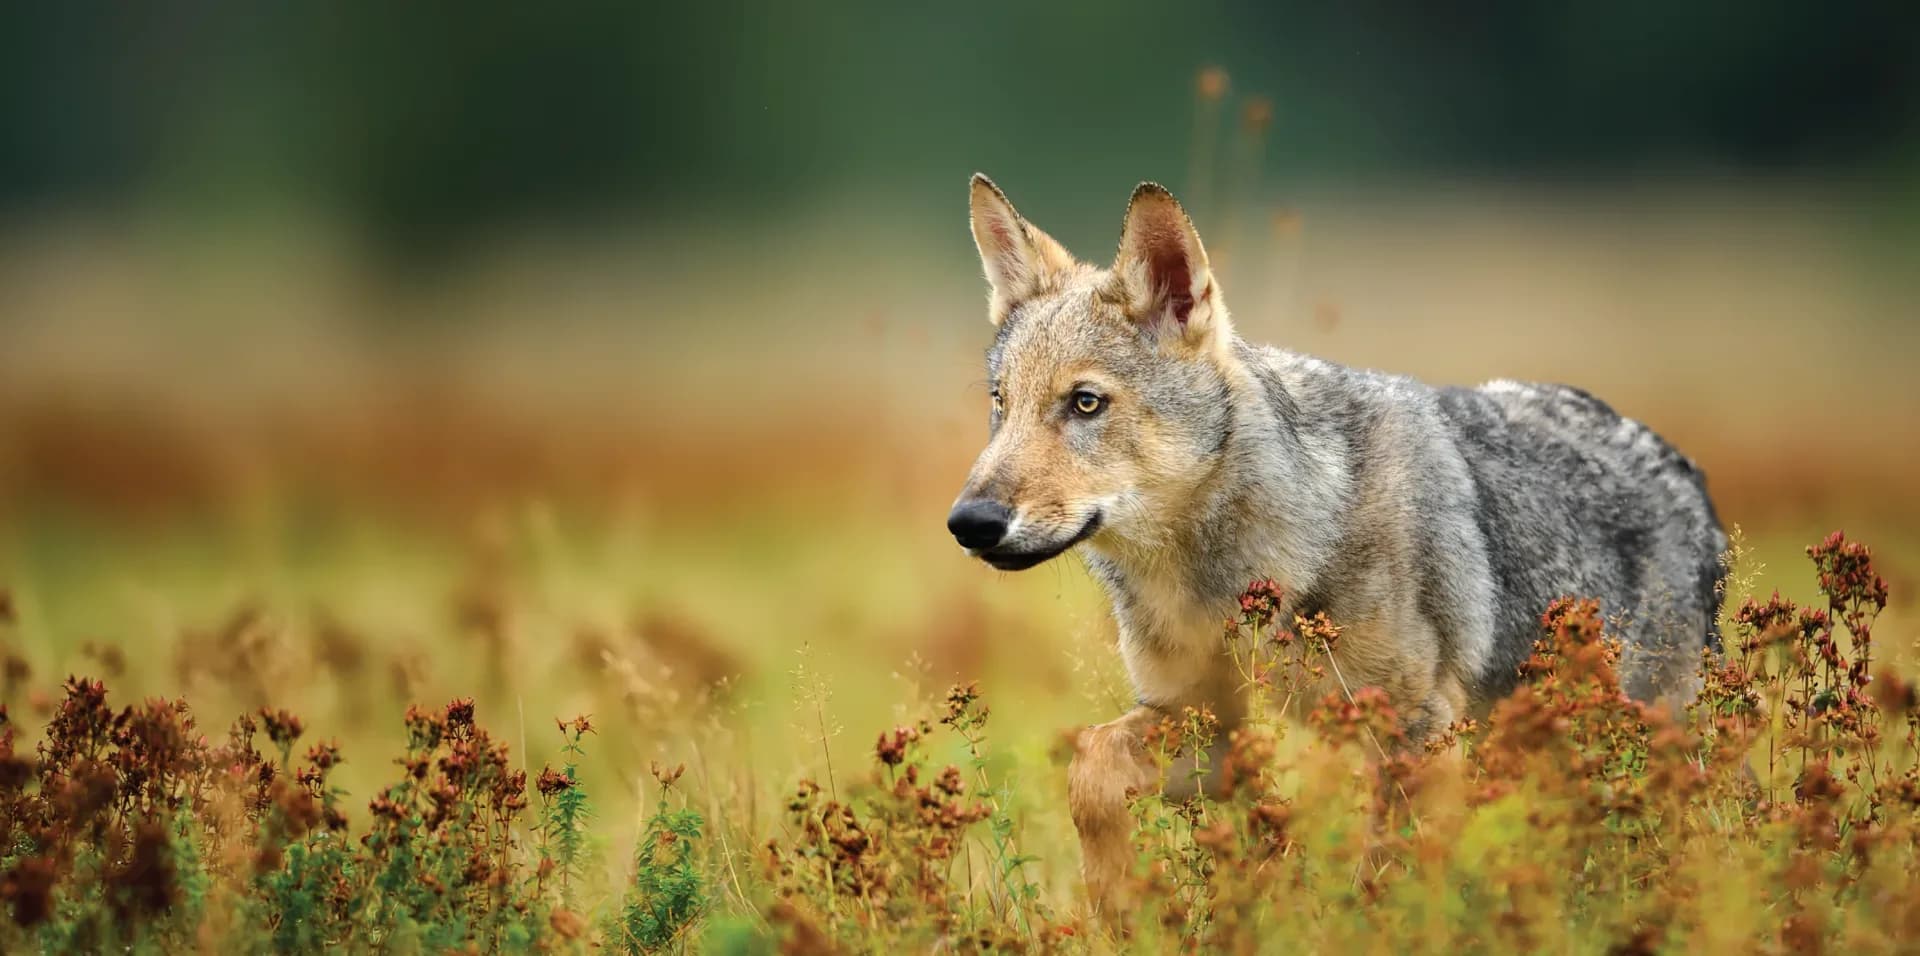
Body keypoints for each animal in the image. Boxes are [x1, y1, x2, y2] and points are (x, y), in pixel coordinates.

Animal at [945, 173, 1728, 910]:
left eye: (1085, 403)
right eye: (1001, 403)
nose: (969, 522)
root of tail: (1689, 474)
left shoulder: (1414, 733)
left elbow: (1390, 876)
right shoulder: (1207, 728)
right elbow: (1091, 768)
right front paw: (1118, 907)